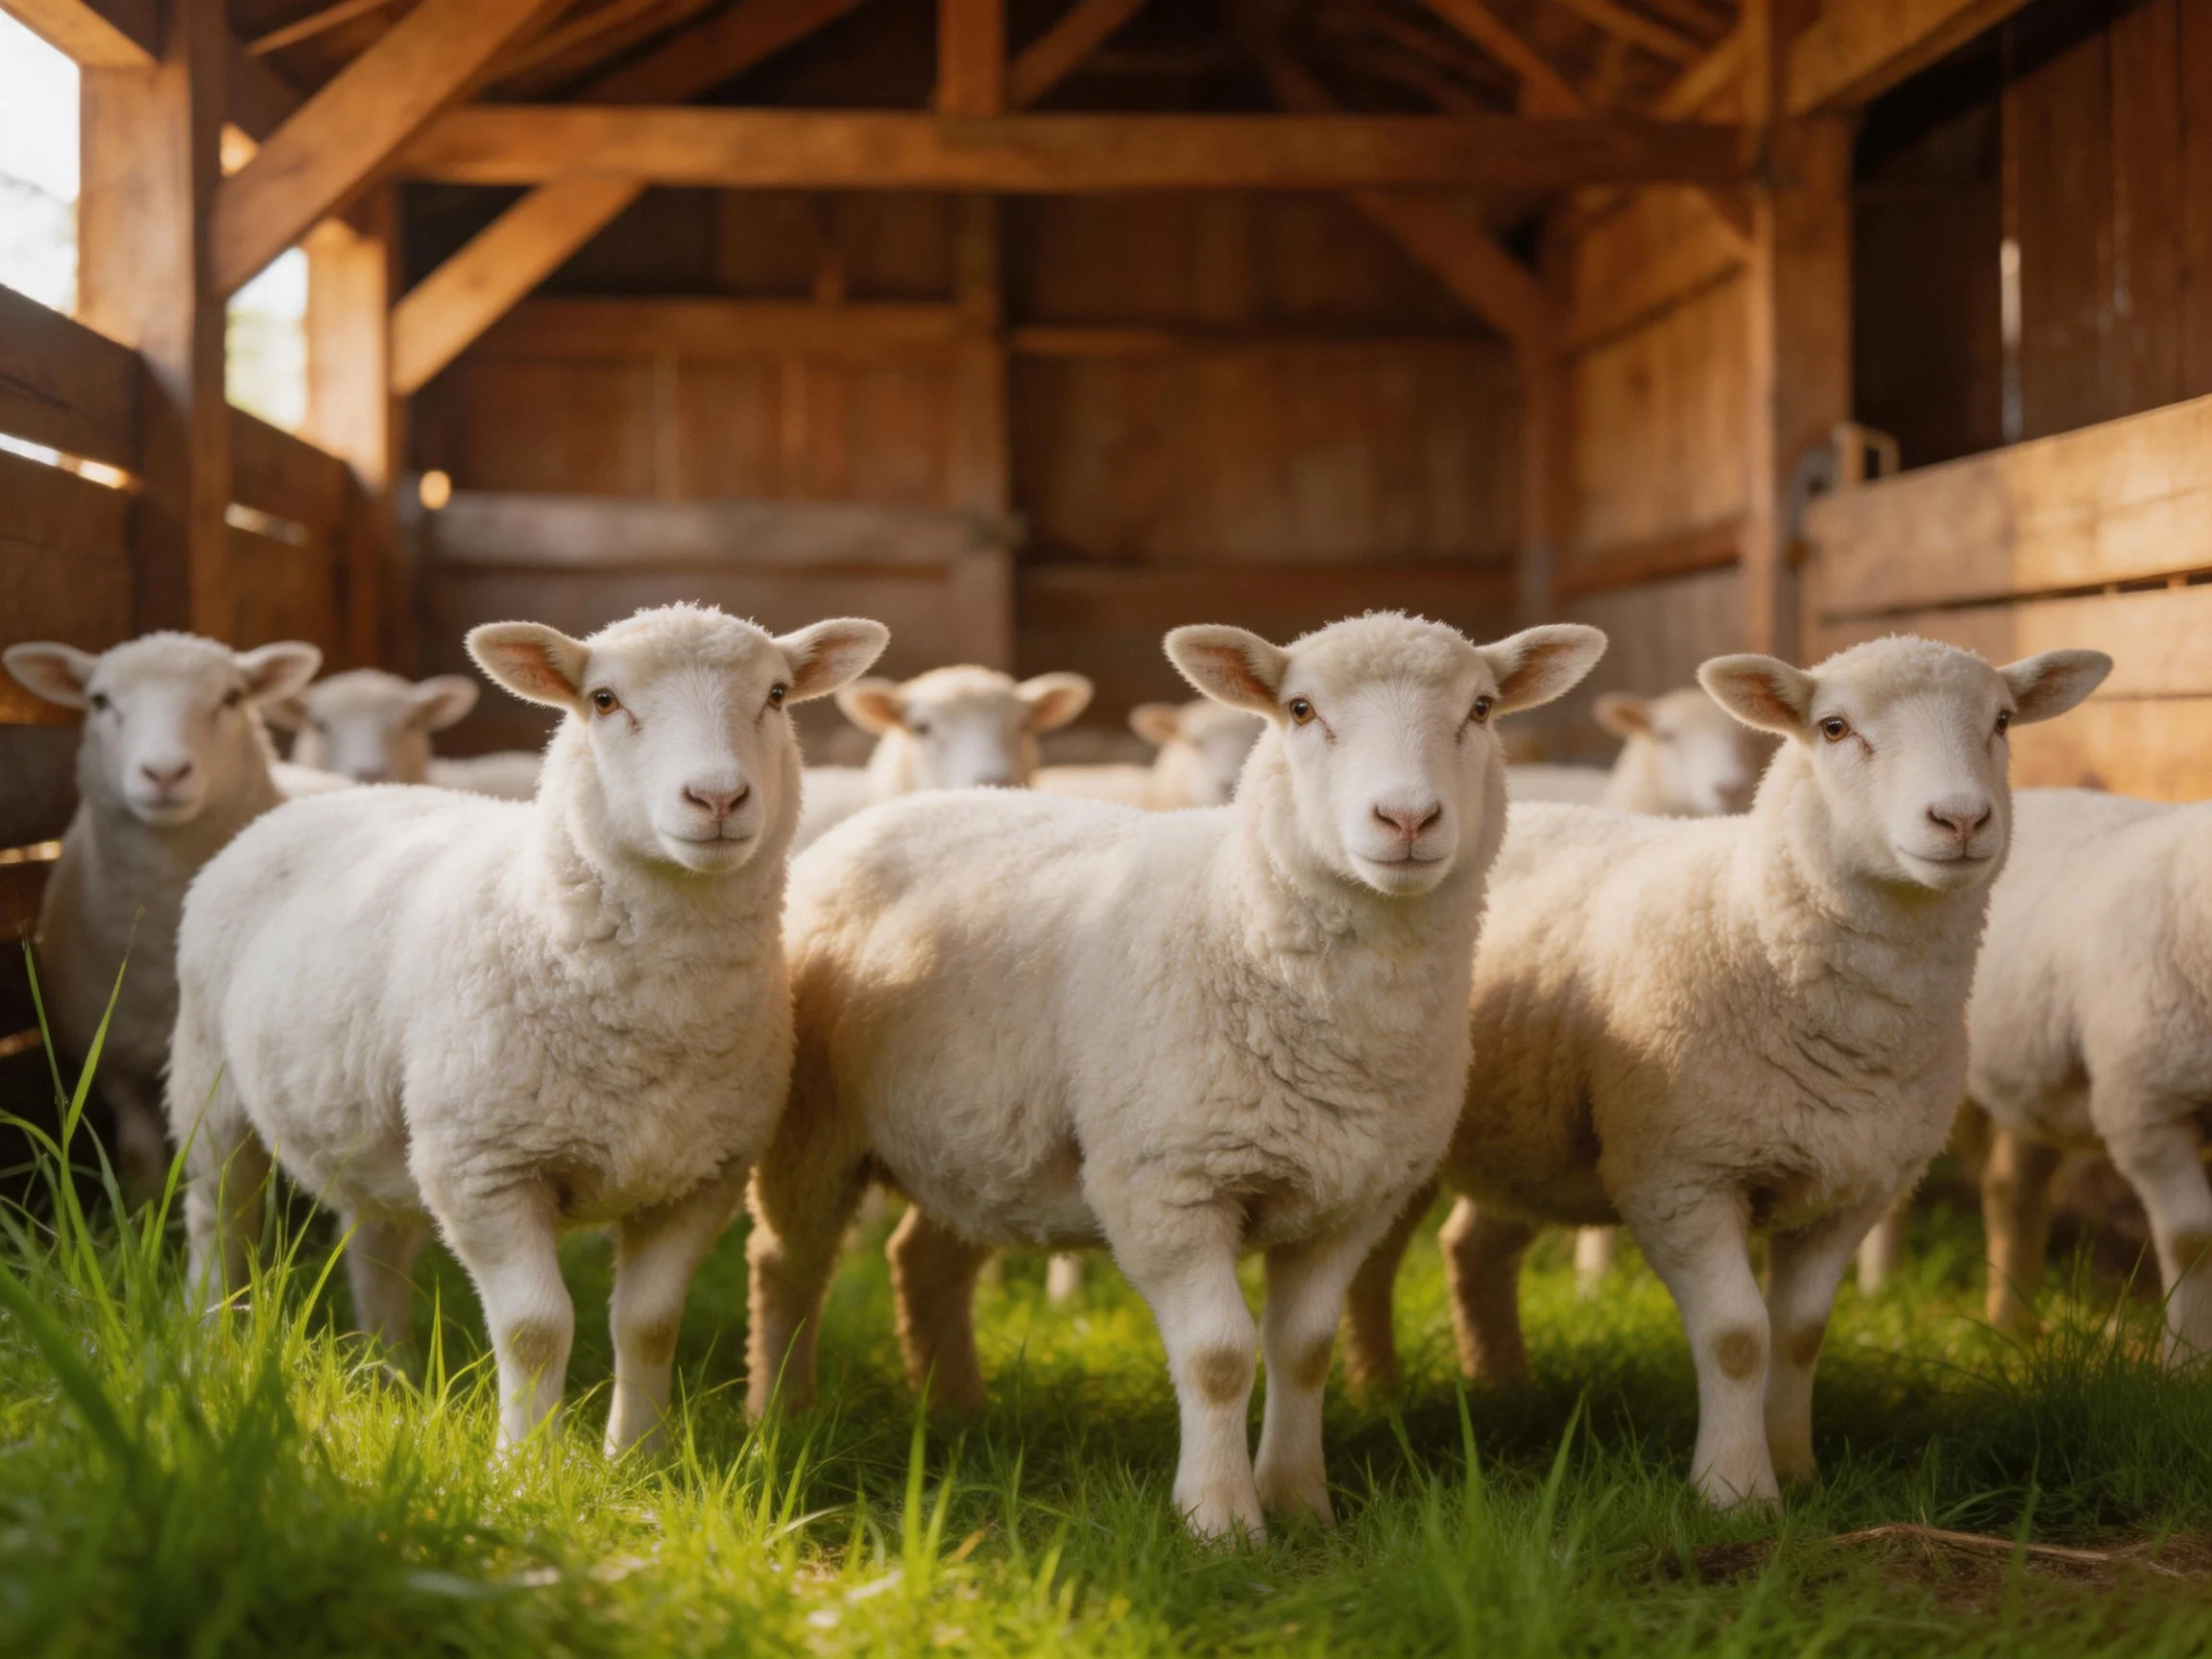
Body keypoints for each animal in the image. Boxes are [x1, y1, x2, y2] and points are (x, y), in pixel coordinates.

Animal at [1, 633, 323, 1199]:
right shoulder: (115, 1061)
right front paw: (144, 1207)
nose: (165, 773)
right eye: (100, 701)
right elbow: (137, 1158)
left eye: (232, 697)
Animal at [1338, 636, 2109, 1509]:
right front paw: (1736, 1492)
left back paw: (1506, 1392)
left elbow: (1800, 1335)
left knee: (1475, 1251)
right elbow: (1739, 1334)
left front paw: (1798, 1469)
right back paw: (1378, 1391)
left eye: (2003, 721)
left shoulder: (1855, 1188)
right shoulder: (1678, 1173)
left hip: (1529, 1131)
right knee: (1373, 1268)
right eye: (1834, 727)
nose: (1960, 819)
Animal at [1963, 788, 2212, 1360]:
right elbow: (2193, 1239)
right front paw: (2187, 1363)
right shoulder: (2142, 1109)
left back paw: (2012, 1328)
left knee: (2011, 1188)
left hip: (2033, 1086)